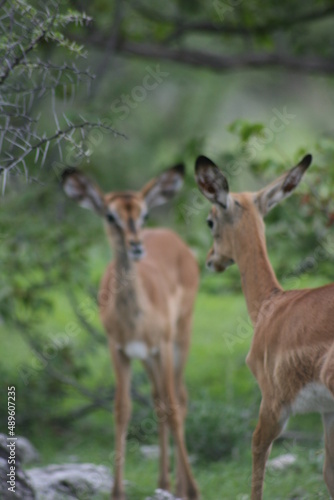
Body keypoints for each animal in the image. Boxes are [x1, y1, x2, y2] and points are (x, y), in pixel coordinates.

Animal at [61, 165, 200, 500]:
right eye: (110, 216)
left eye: (144, 213)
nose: (136, 245)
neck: (136, 317)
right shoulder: (119, 349)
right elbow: (122, 410)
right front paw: (117, 492)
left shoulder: (163, 346)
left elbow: (174, 407)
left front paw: (193, 490)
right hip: (148, 358)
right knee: (159, 400)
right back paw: (165, 484)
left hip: (181, 337)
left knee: (178, 398)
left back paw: (181, 486)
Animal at [194, 154, 334, 498]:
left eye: (210, 220)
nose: (211, 260)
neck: (269, 306)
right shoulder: (327, 410)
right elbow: (329, 474)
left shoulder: (272, 404)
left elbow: (257, 455)